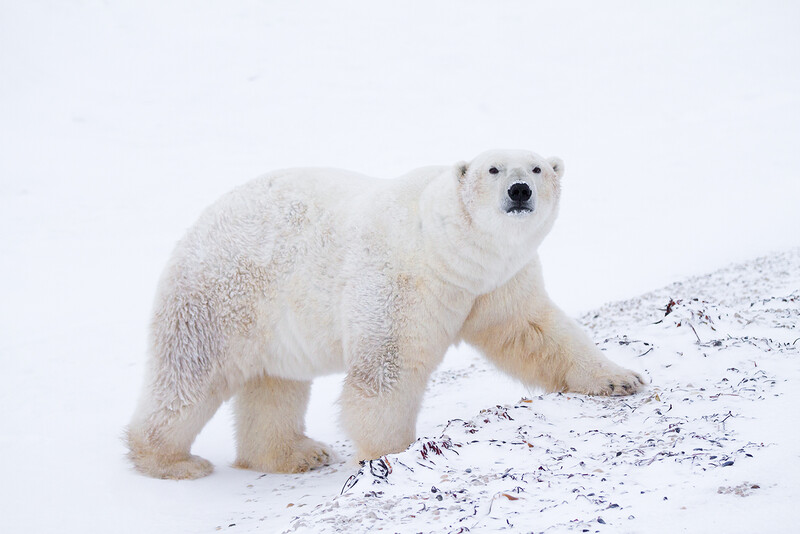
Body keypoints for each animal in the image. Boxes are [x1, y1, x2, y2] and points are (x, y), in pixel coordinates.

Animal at [126, 149, 645, 480]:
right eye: (494, 168)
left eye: (537, 166)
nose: (520, 190)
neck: (447, 248)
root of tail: (199, 223)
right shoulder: (402, 280)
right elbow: (386, 371)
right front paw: (391, 454)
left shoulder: (497, 282)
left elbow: (535, 332)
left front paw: (621, 379)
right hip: (221, 297)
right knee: (188, 379)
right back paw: (171, 461)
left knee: (275, 387)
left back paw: (296, 454)